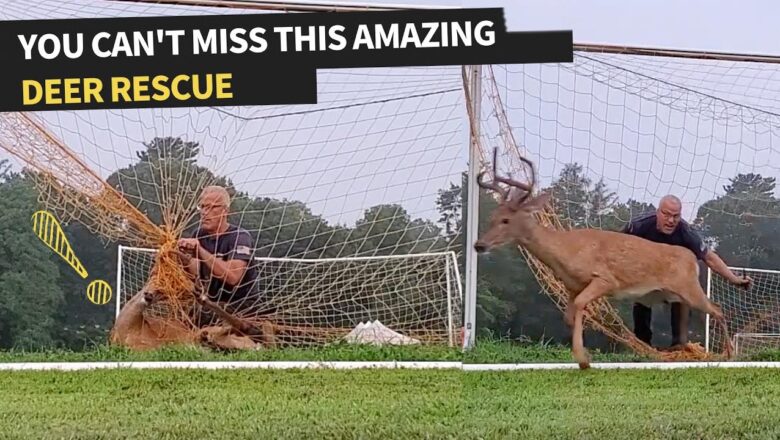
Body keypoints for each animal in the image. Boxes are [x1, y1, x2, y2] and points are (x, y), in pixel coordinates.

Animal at [472, 148, 736, 368]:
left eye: (506, 220)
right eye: (493, 217)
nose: (479, 245)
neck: (565, 251)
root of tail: (692, 258)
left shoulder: (605, 280)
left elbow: (581, 305)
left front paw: (583, 359)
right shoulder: (572, 286)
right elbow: (569, 315)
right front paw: (582, 354)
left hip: (688, 287)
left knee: (718, 309)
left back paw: (729, 353)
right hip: (676, 293)